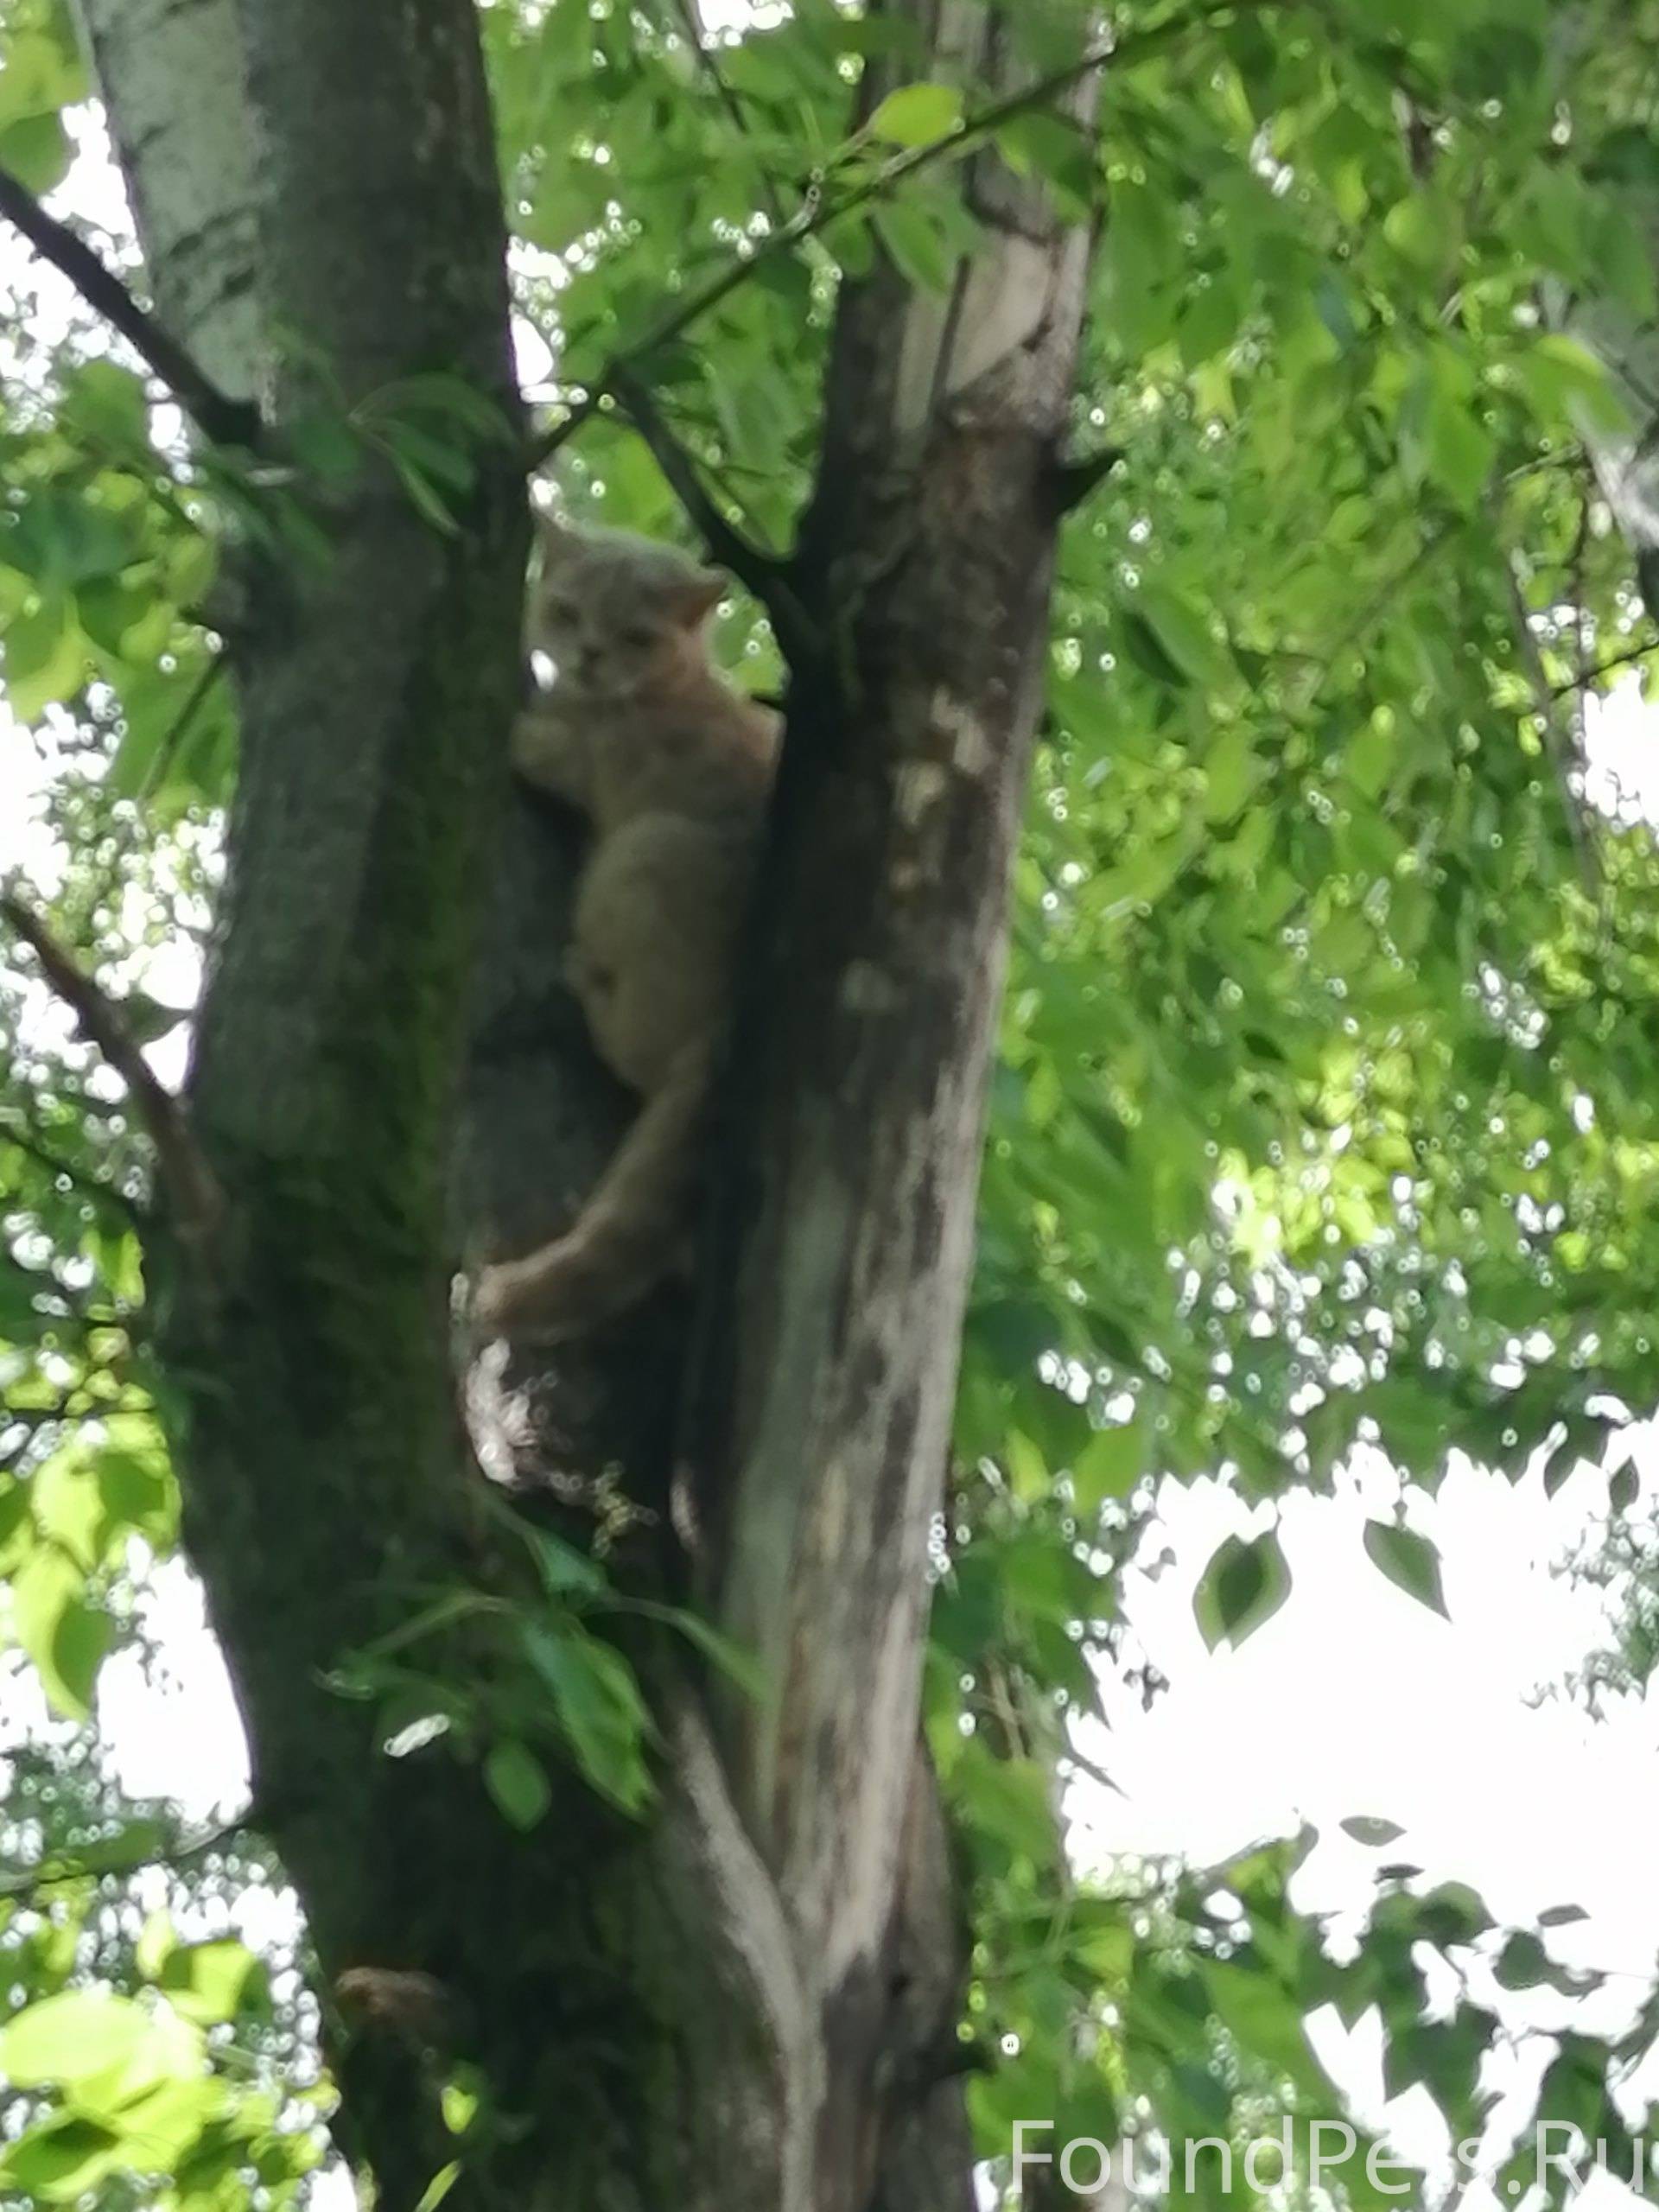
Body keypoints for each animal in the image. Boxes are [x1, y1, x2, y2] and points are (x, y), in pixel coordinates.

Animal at [468, 515, 779, 1336]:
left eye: (635, 635)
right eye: (570, 611)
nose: (589, 655)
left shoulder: (584, 758)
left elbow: (539, 742)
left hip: (645, 851)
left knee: (639, 1056)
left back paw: (584, 982)